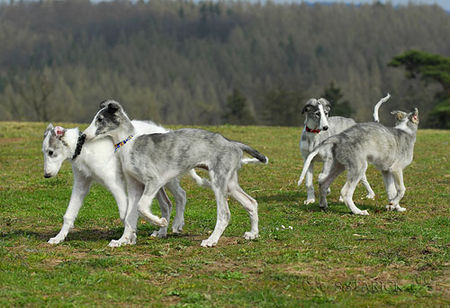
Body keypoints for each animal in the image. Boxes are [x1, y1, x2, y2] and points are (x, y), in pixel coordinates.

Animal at [40, 120, 185, 245]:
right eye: (44, 152)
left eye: (51, 152)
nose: (46, 175)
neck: (82, 147)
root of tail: (164, 130)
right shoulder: (81, 183)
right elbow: (69, 214)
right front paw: (58, 237)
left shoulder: (115, 184)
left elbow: (124, 215)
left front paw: (128, 238)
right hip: (150, 182)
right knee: (166, 204)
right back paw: (161, 231)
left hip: (164, 178)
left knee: (181, 195)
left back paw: (176, 225)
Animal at [83, 100, 268, 247]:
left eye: (100, 120)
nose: (84, 136)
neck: (128, 144)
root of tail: (233, 144)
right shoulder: (134, 186)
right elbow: (130, 216)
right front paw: (122, 240)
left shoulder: (154, 181)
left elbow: (142, 207)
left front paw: (160, 221)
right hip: (230, 184)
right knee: (251, 202)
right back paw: (253, 234)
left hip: (218, 182)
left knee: (224, 214)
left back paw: (211, 240)